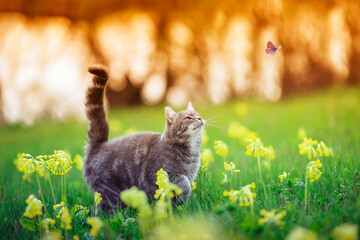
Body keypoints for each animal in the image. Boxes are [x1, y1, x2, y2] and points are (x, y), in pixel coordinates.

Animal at [83, 65, 204, 210]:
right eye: (188, 117)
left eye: (197, 114)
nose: (200, 118)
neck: (190, 152)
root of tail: (99, 145)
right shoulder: (161, 174)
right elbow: (184, 183)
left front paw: (182, 205)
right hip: (109, 191)